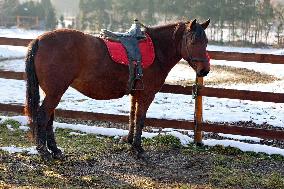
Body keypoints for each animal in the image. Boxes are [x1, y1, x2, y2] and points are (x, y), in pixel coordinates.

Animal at [24, 18, 210, 160]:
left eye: (206, 42)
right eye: (193, 41)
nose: (204, 70)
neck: (157, 50)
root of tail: (39, 40)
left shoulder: (136, 94)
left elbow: (132, 117)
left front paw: (129, 141)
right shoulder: (146, 95)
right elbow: (140, 119)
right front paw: (138, 148)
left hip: (53, 92)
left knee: (49, 118)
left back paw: (55, 150)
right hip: (55, 92)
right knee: (42, 117)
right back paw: (44, 152)